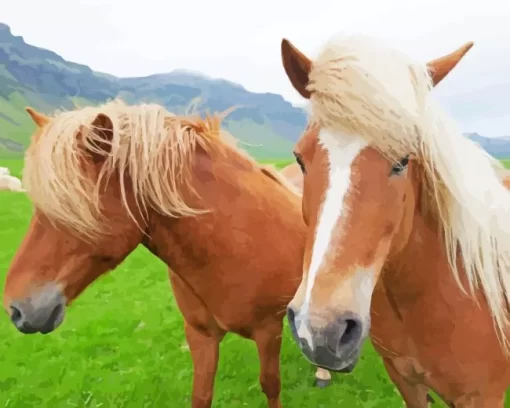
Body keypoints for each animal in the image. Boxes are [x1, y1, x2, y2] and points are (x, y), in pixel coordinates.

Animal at [0, 102, 334, 408]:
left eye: (73, 206)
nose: (16, 309)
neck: (233, 243)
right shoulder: (200, 335)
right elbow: (201, 395)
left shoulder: (267, 332)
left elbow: (271, 385)